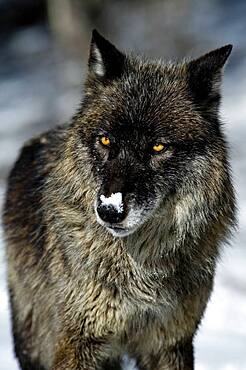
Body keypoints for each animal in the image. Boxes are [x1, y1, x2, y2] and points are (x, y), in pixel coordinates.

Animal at [2, 29, 235, 370]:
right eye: (105, 140)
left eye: (158, 147)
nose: (110, 210)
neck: (140, 266)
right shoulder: (77, 342)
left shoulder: (170, 342)